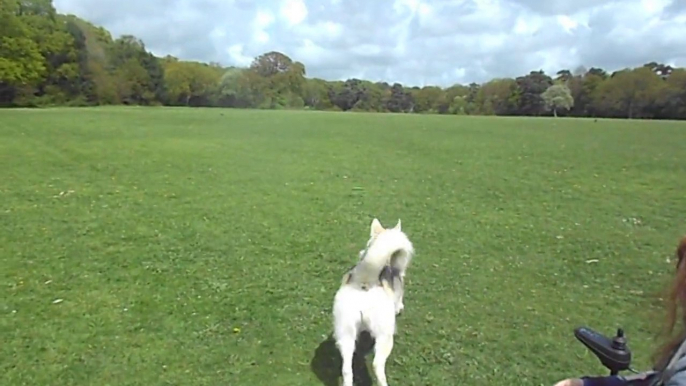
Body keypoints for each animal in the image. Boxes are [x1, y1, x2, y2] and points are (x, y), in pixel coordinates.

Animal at [332, 219, 414, 386]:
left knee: (347, 369)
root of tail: (365, 284)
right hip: (385, 335)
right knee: (377, 365)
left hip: (345, 333)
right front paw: (400, 307)